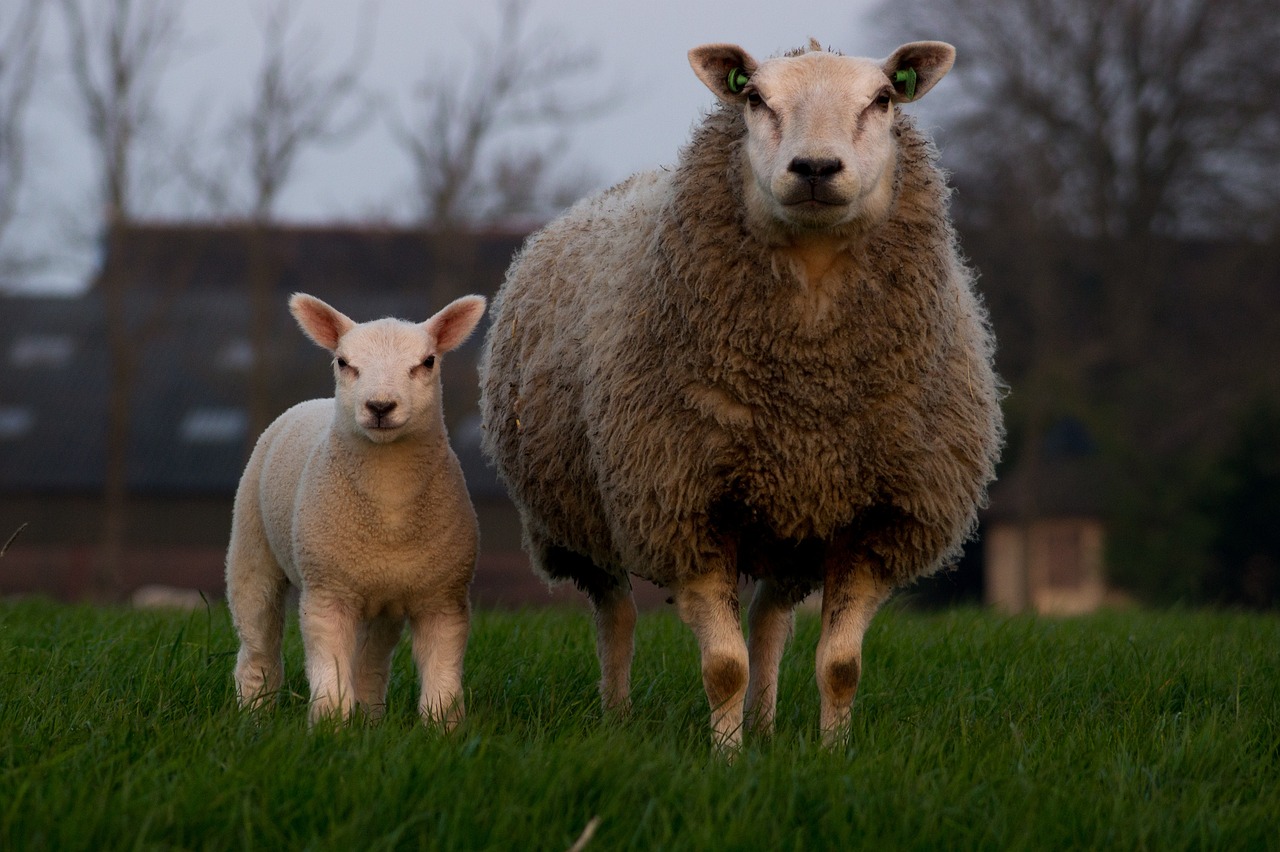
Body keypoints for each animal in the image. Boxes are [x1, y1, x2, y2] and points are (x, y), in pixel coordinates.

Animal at [227, 290, 486, 721]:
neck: (390, 507)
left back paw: (370, 718)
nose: (380, 406)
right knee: (258, 643)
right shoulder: (327, 591)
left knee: (371, 661)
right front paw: (330, 725)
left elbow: (443, 680)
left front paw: (442, 728)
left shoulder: (443, 597)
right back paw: (254, 714)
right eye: (343, 362)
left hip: (382, 598)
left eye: (428, 361)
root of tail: (312, 402)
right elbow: (330, 673)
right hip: (251, 546)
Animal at [478, 38, 998, 752]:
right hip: (582, 516)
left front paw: (832, 755)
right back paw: (619, 719)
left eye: (883, 99)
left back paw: (768, 725)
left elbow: (840, 665)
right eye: (754, 98)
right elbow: (724, 666)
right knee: (616, 616)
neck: (809, 385)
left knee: (770, 619)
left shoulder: (876, 520)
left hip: (793, 522)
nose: (815, 167)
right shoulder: (685, 509)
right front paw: (725, 757)